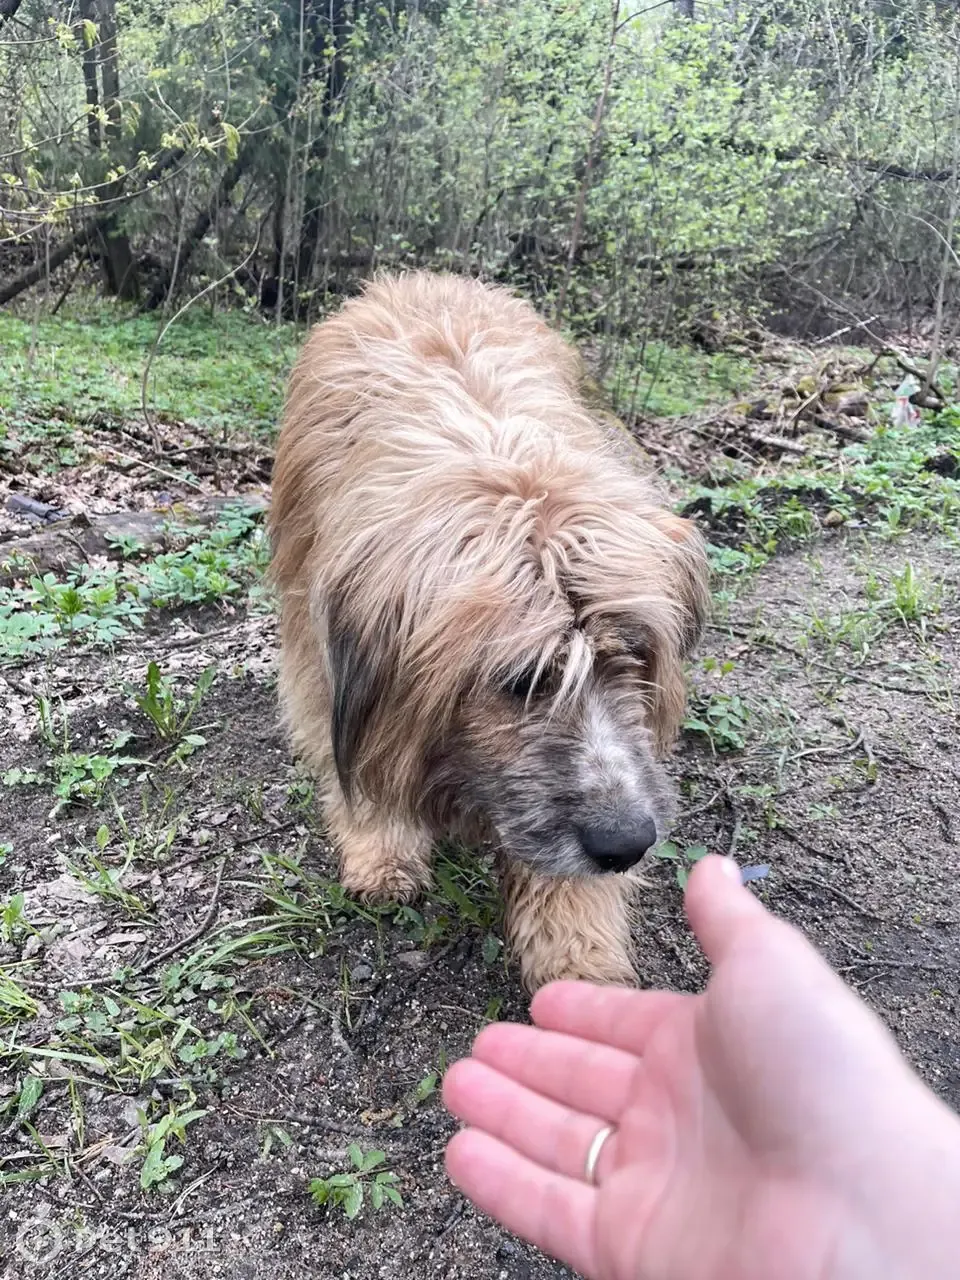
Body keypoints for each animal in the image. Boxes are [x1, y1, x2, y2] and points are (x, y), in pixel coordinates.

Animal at [267, 272, 711, 988]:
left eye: (636, 656)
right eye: (521, 680)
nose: (626, 845)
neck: (503, 462)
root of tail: (424, 279)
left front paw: (580, 951)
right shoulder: (323, 654)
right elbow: (361, 758)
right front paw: (382, 846)